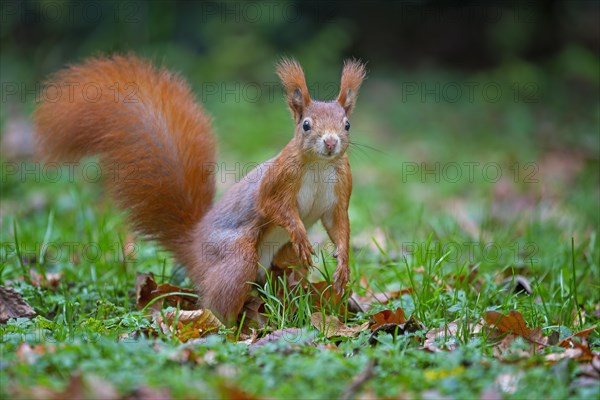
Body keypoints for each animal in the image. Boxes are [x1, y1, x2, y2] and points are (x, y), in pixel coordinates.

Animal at [36, 54, 370, 324]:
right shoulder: (278, 180)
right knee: (220, 300)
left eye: (347, 124)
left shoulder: (341, 189)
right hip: (235, 257)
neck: (319, 165)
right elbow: (273, 205)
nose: (331, 142)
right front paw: (300, 233)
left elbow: (338, 224)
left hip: (282, 262)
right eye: (306, 125)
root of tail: (194, 245)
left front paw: (343, 265)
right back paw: (215, 323)